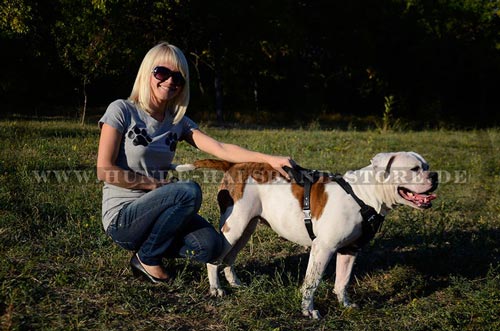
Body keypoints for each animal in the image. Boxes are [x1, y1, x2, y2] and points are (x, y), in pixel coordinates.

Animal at [177, 152, 438, 320]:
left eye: (426, 166)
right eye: (414, 169)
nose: (435, 175)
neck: (364, 195)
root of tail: (233, 165)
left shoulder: (350, 250)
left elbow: (342, 281)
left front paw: (344, 304)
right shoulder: (323, 248)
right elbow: (312, 282)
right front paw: (308, 311)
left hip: (246, 228)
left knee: (229, 258)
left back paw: (235, 283)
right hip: (235, 226)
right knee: (215, 260)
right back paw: (216, 289)